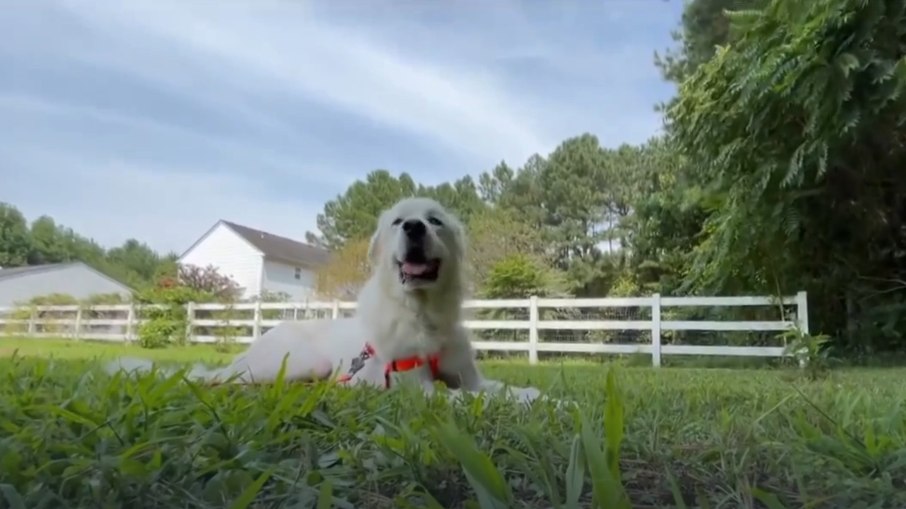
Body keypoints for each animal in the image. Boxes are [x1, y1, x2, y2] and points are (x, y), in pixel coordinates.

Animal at [109, 196, 540, 402]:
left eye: (435, 220)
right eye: (399, 222)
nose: (415, 228)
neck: (423, 314)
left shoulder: (471, 378)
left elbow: (506, 390)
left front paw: (543, 397)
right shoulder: (420, 391)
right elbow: (472, 400)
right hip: (294, 362)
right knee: (217, 380)